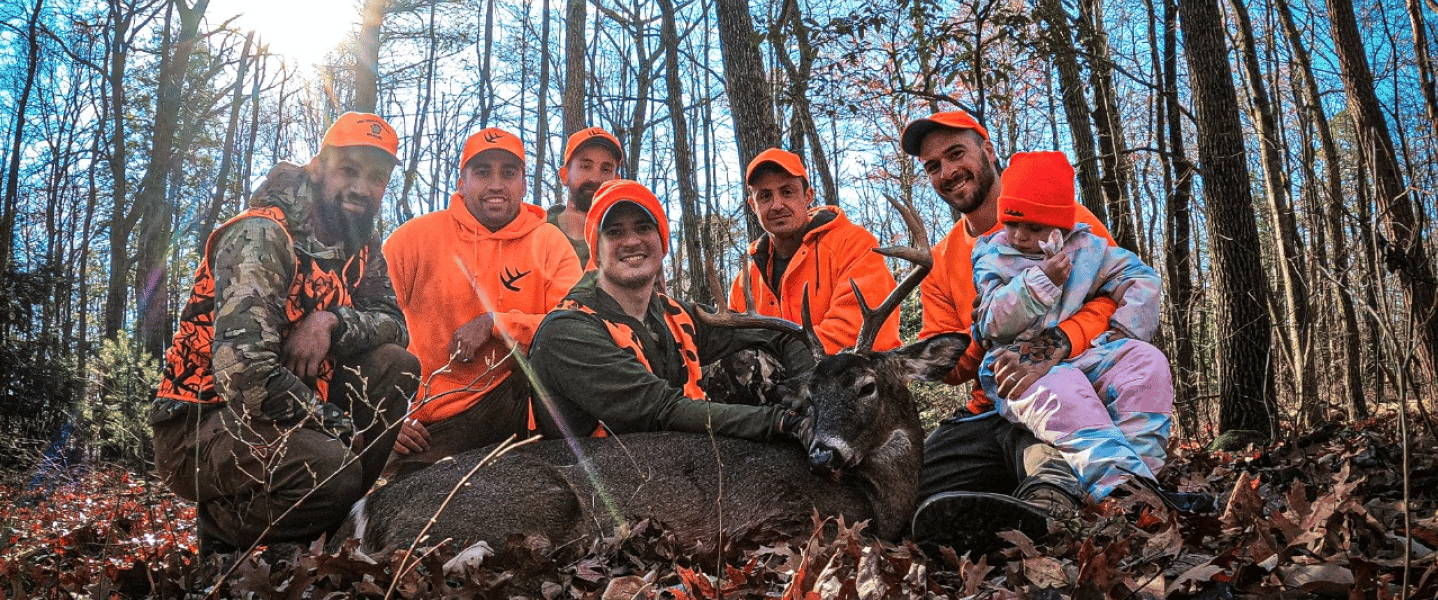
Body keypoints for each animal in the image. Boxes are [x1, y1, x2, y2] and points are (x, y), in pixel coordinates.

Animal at [336, 195, 966, 561]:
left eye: (868, 386)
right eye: (810, 397)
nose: (822, 452)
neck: (882, 500)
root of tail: (369, 508)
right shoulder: (775, 519)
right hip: (526, 506)